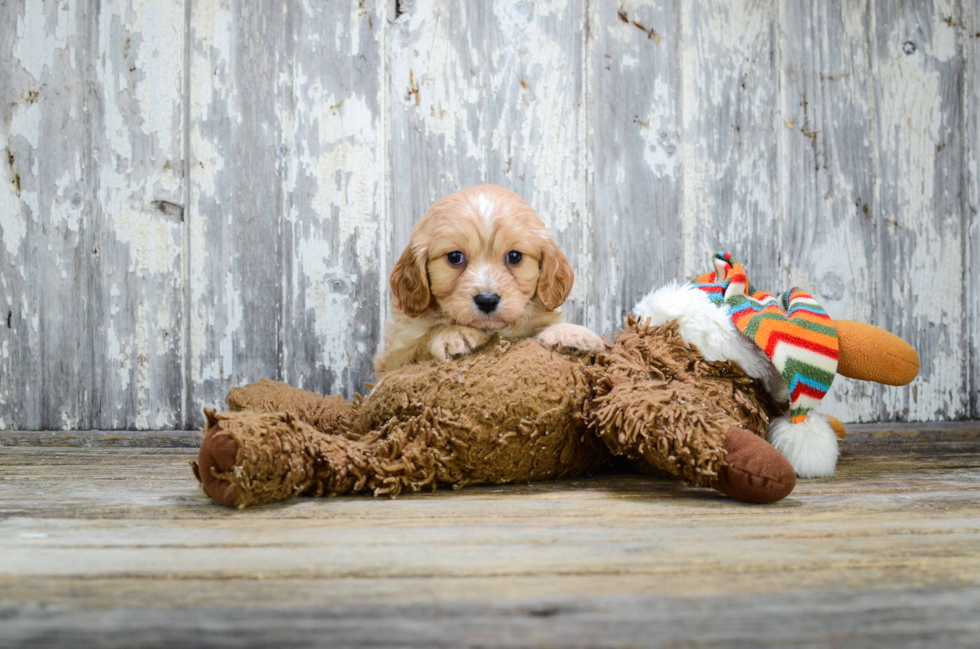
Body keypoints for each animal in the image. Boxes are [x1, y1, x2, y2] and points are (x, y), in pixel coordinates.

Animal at [378, 184, 600, 374]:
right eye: (455, 257)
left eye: (514, 256)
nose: (487, 301)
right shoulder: (394, 358)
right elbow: (419, 342)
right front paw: (452, 332)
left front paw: (569, 333)